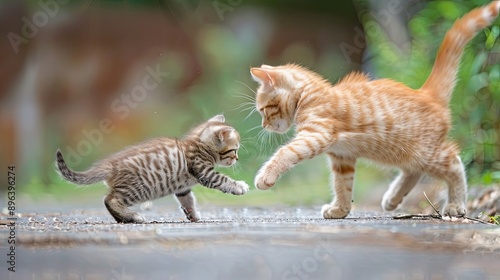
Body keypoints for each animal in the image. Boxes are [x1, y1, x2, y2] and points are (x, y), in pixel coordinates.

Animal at [55, 114, 249, 223]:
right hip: (138, 188)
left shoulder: (183, 188)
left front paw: (193, 215)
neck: (197, 144)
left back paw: (124, 219)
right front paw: (239, 186)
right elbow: (222, 179)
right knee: (110, 199)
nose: (237, 159)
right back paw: (133, 217)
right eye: (234, 150)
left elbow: (188, 200)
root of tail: (111, 164)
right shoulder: (203, 170)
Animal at [250, 1, 500, 219]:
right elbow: (343, 186)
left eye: (264, 110)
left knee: (455, 163)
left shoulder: (316, 135)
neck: (309, 95)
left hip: (425, 152)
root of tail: (427, 93)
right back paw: (393, 198)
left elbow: (285, 152)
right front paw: (340, 209)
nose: (263, 125)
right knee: (414, 170)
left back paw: (456, 204)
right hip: (407, 153)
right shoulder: (342, 157)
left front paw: (265, 176)